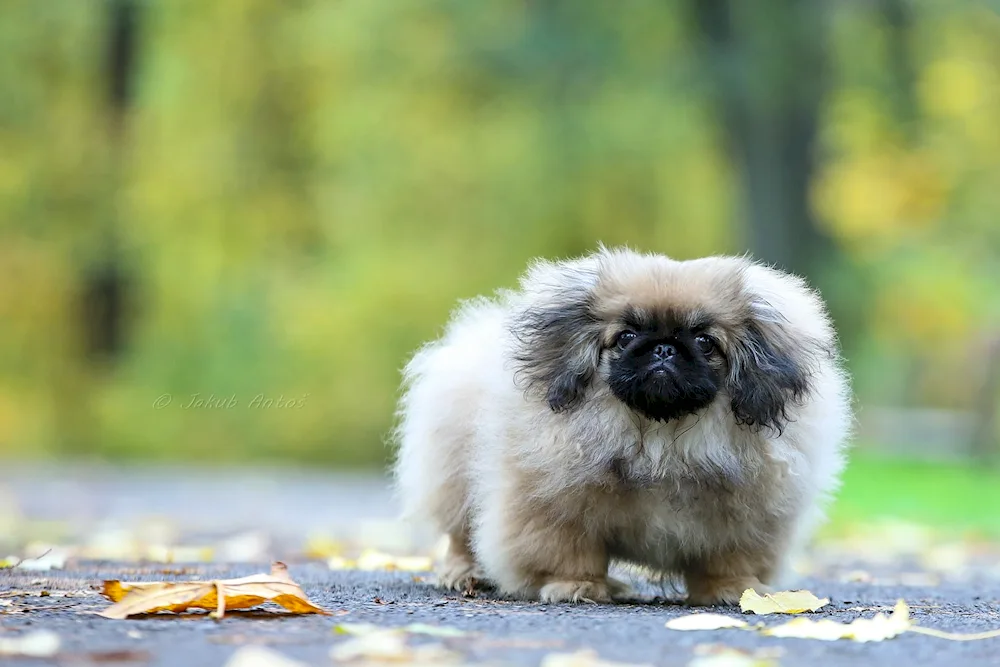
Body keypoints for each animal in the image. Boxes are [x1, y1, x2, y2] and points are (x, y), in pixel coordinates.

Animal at [390, 248, 852, 608]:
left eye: (704, 342)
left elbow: (729, 560)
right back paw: (465, 573)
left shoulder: (746, 521)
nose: (664, 349)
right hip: (455, 477)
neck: (661, 439)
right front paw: (574, 586)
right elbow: (569, 554)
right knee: (459, 534)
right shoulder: (554, 509)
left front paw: (732, 590)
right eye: (627, 336)